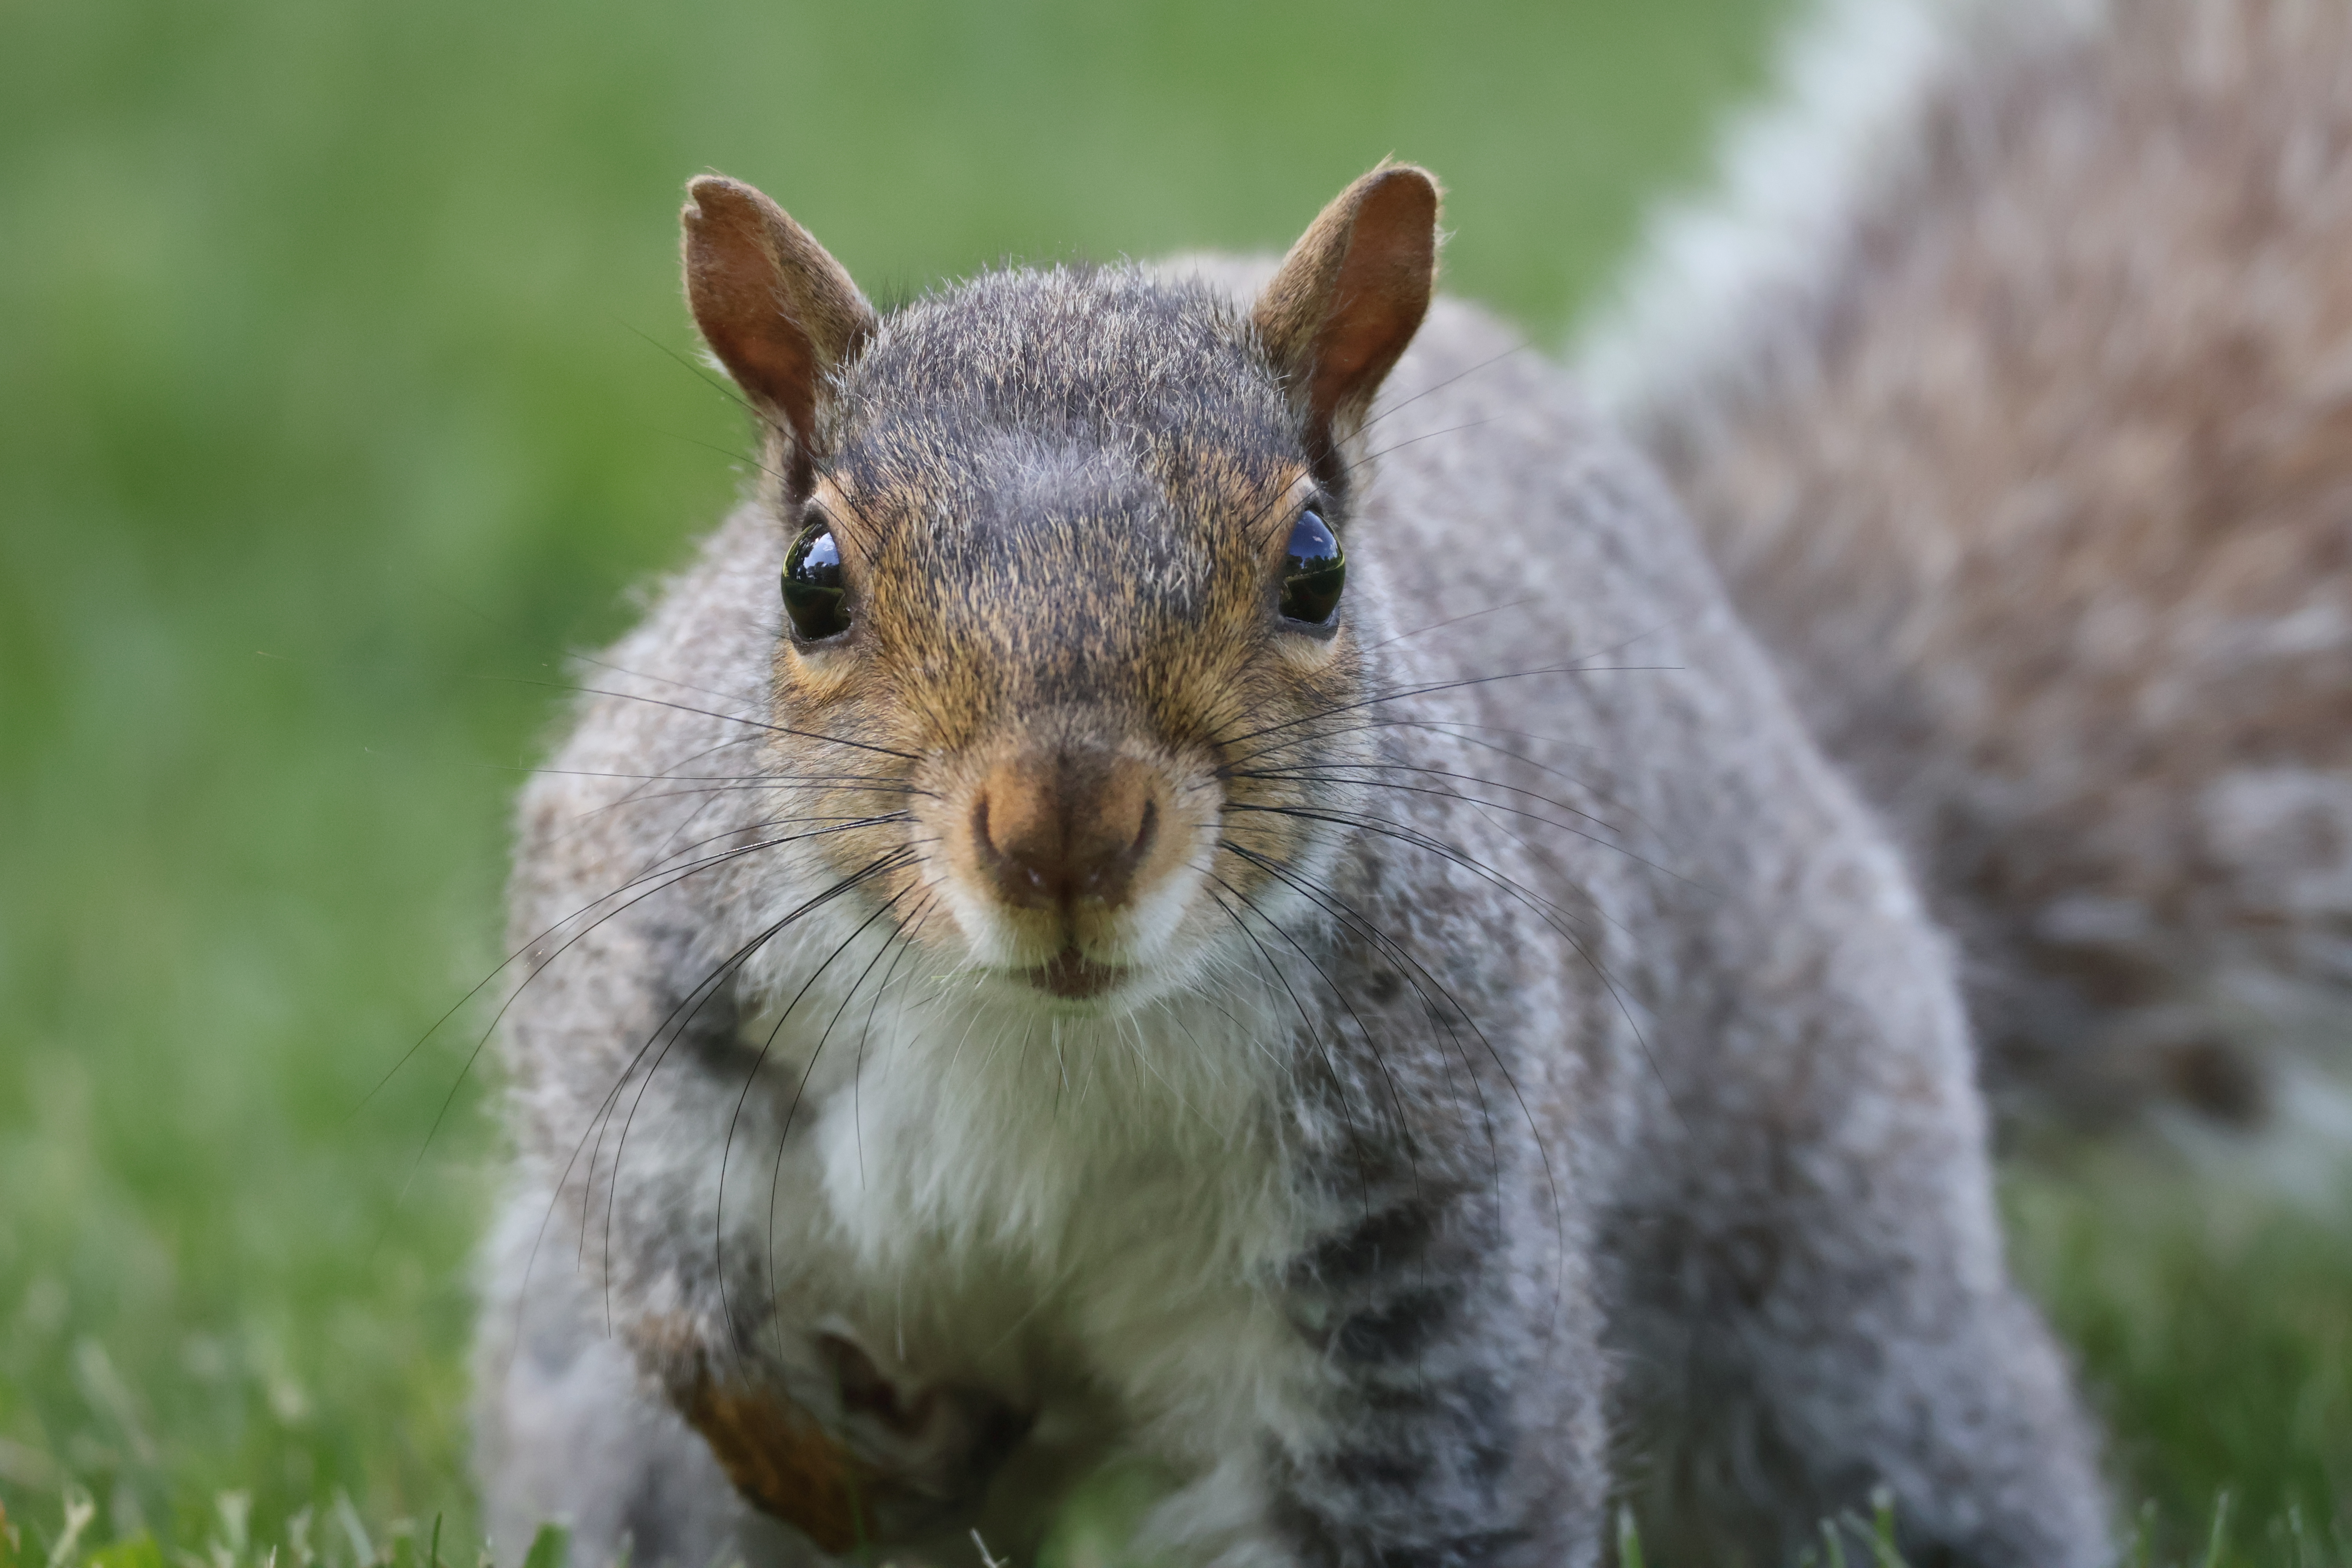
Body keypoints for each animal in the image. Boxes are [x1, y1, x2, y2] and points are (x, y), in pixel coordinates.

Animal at [472, 165, 2108, 1568]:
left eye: (1315, 569)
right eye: (810, 583)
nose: (1063, 831)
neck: (1037, 1039)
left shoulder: (1410, 1248)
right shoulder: (643, 954)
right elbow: (653, 1259)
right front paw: (806, 1437)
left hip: (1836, 1283)